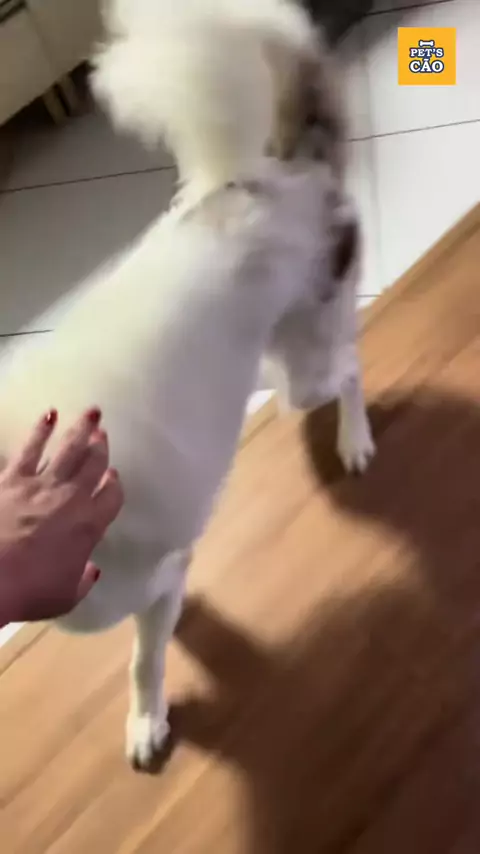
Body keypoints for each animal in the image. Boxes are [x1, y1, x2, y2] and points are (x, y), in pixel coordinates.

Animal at [0, 0, 374, 768]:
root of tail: (287, 170)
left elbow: (145, 658)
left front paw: (147, 719)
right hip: (266, 352)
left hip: (308, 364)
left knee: (347, 369)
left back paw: (354, 439)